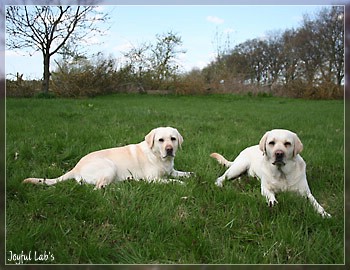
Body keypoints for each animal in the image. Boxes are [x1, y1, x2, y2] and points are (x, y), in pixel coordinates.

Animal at [23, 126, 193, 188]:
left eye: (173, 139)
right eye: (160, 140)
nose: (169, 150)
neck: (159, 156)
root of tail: (75, 167)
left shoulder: (171, 170)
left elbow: (181, 173)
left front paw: (190, 174)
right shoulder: (153, 179)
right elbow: (171, 181)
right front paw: (180, 183)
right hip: (109, 167)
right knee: (98, 188)